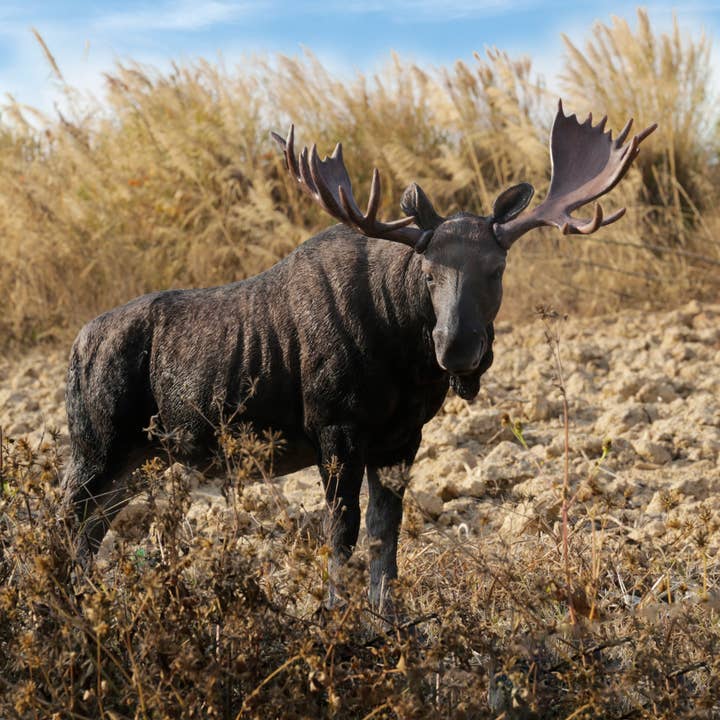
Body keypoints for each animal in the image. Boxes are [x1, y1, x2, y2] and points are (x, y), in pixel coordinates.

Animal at [61, 101, 655, 609]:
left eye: (498, 268)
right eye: (428, 271)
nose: (458, 349)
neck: (405, 359)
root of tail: (75, 346)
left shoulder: (401, 437)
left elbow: (384, 539)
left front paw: (387, 618)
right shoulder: (336, 428)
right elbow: (342, 535)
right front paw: (336, 618)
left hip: (135, 458)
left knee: (87, 533)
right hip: (97, 446)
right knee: (65, 522)